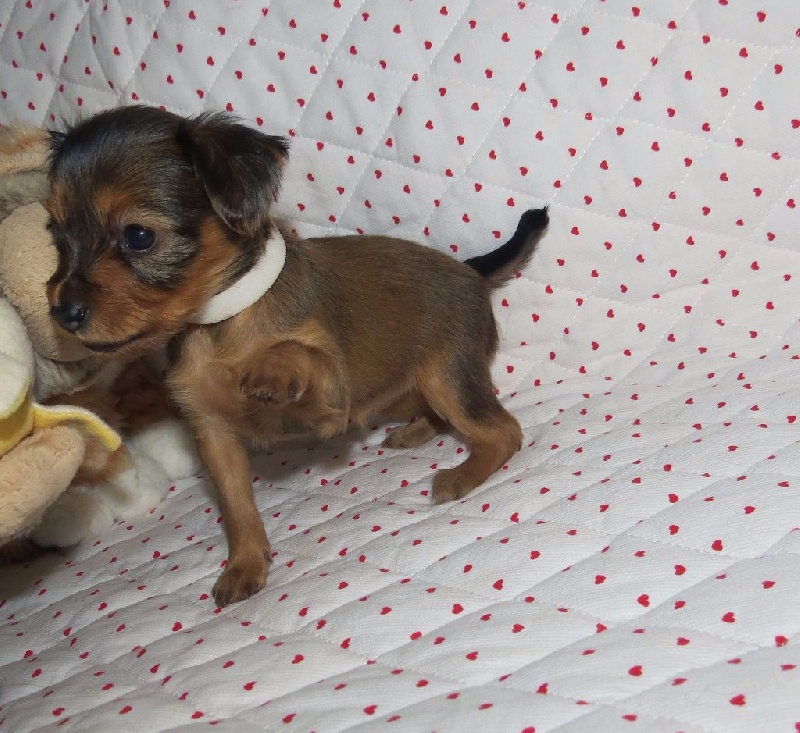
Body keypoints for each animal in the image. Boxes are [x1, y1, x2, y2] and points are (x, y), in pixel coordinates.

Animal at [45, 105, 549, 606]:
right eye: (57, 238)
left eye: (139, 236)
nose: (62, 313)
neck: (219, 323)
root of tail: (471, 271)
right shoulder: (212, 432)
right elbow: (236, 507)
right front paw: (245, 565)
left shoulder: (333, 403)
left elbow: (293, 352)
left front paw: (265, 369)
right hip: (406, 385)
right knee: (439, 414)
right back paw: (415, 432)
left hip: (447, 379)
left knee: (503, 431)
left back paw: (462, 475)